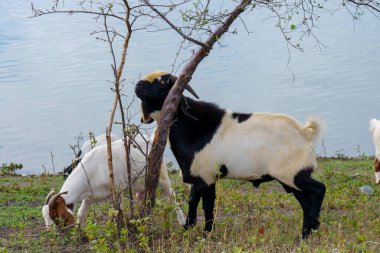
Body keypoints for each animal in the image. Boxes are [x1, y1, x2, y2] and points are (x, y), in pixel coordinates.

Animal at [43, 134, 186, 229]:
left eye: (54, 214)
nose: (52, 231)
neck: (93, 168)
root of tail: (149, 139)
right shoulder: (89, 196)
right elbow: (81, 213)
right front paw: (80, 233)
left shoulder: (117, 190)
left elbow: (119, 211)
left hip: (161, 173)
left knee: (171, 194)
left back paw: (182, 221)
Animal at [134, 70, 326, 239]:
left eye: (162, 82)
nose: (137, 85)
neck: (191, 125)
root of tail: (305, 133)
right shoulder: (198, 177)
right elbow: (192, 201)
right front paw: (188, 228)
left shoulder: (207, 177)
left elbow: (207, 206)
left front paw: (206, 233)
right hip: (290, 180)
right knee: (305, 201)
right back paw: (307, 232)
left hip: (295, 175)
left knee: (319, 189)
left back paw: (311, 230)